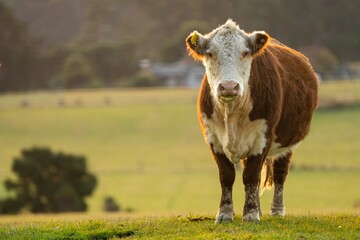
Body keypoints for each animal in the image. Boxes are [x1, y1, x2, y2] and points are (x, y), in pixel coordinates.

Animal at [186, 20, 318, 223]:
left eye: (245, 52)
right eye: (210, 53)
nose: (229, 86)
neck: (231, 113)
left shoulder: (263, 137)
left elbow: (251, 175)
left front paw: (250, 214)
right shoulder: (213, 138)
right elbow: (227, 175)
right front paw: (225, 213)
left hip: (288, 143)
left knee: (280, 174)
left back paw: (276, 210)